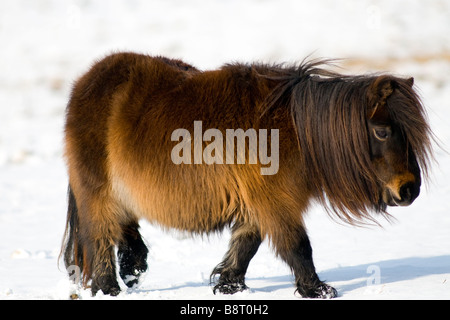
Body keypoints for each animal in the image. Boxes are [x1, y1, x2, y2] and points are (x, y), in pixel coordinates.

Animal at [59, 51, 432, 298]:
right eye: (382, 131)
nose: (409, 190)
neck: (291, 130)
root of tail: (87, 82)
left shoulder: (255, 202)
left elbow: (246, 244)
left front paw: (229, 285)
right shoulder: (275, 202)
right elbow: (298, 246)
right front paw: (318, 289)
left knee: (126, 230)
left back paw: (134, 270)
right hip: (97, 193)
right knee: (100, 238)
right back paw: (109, 288)